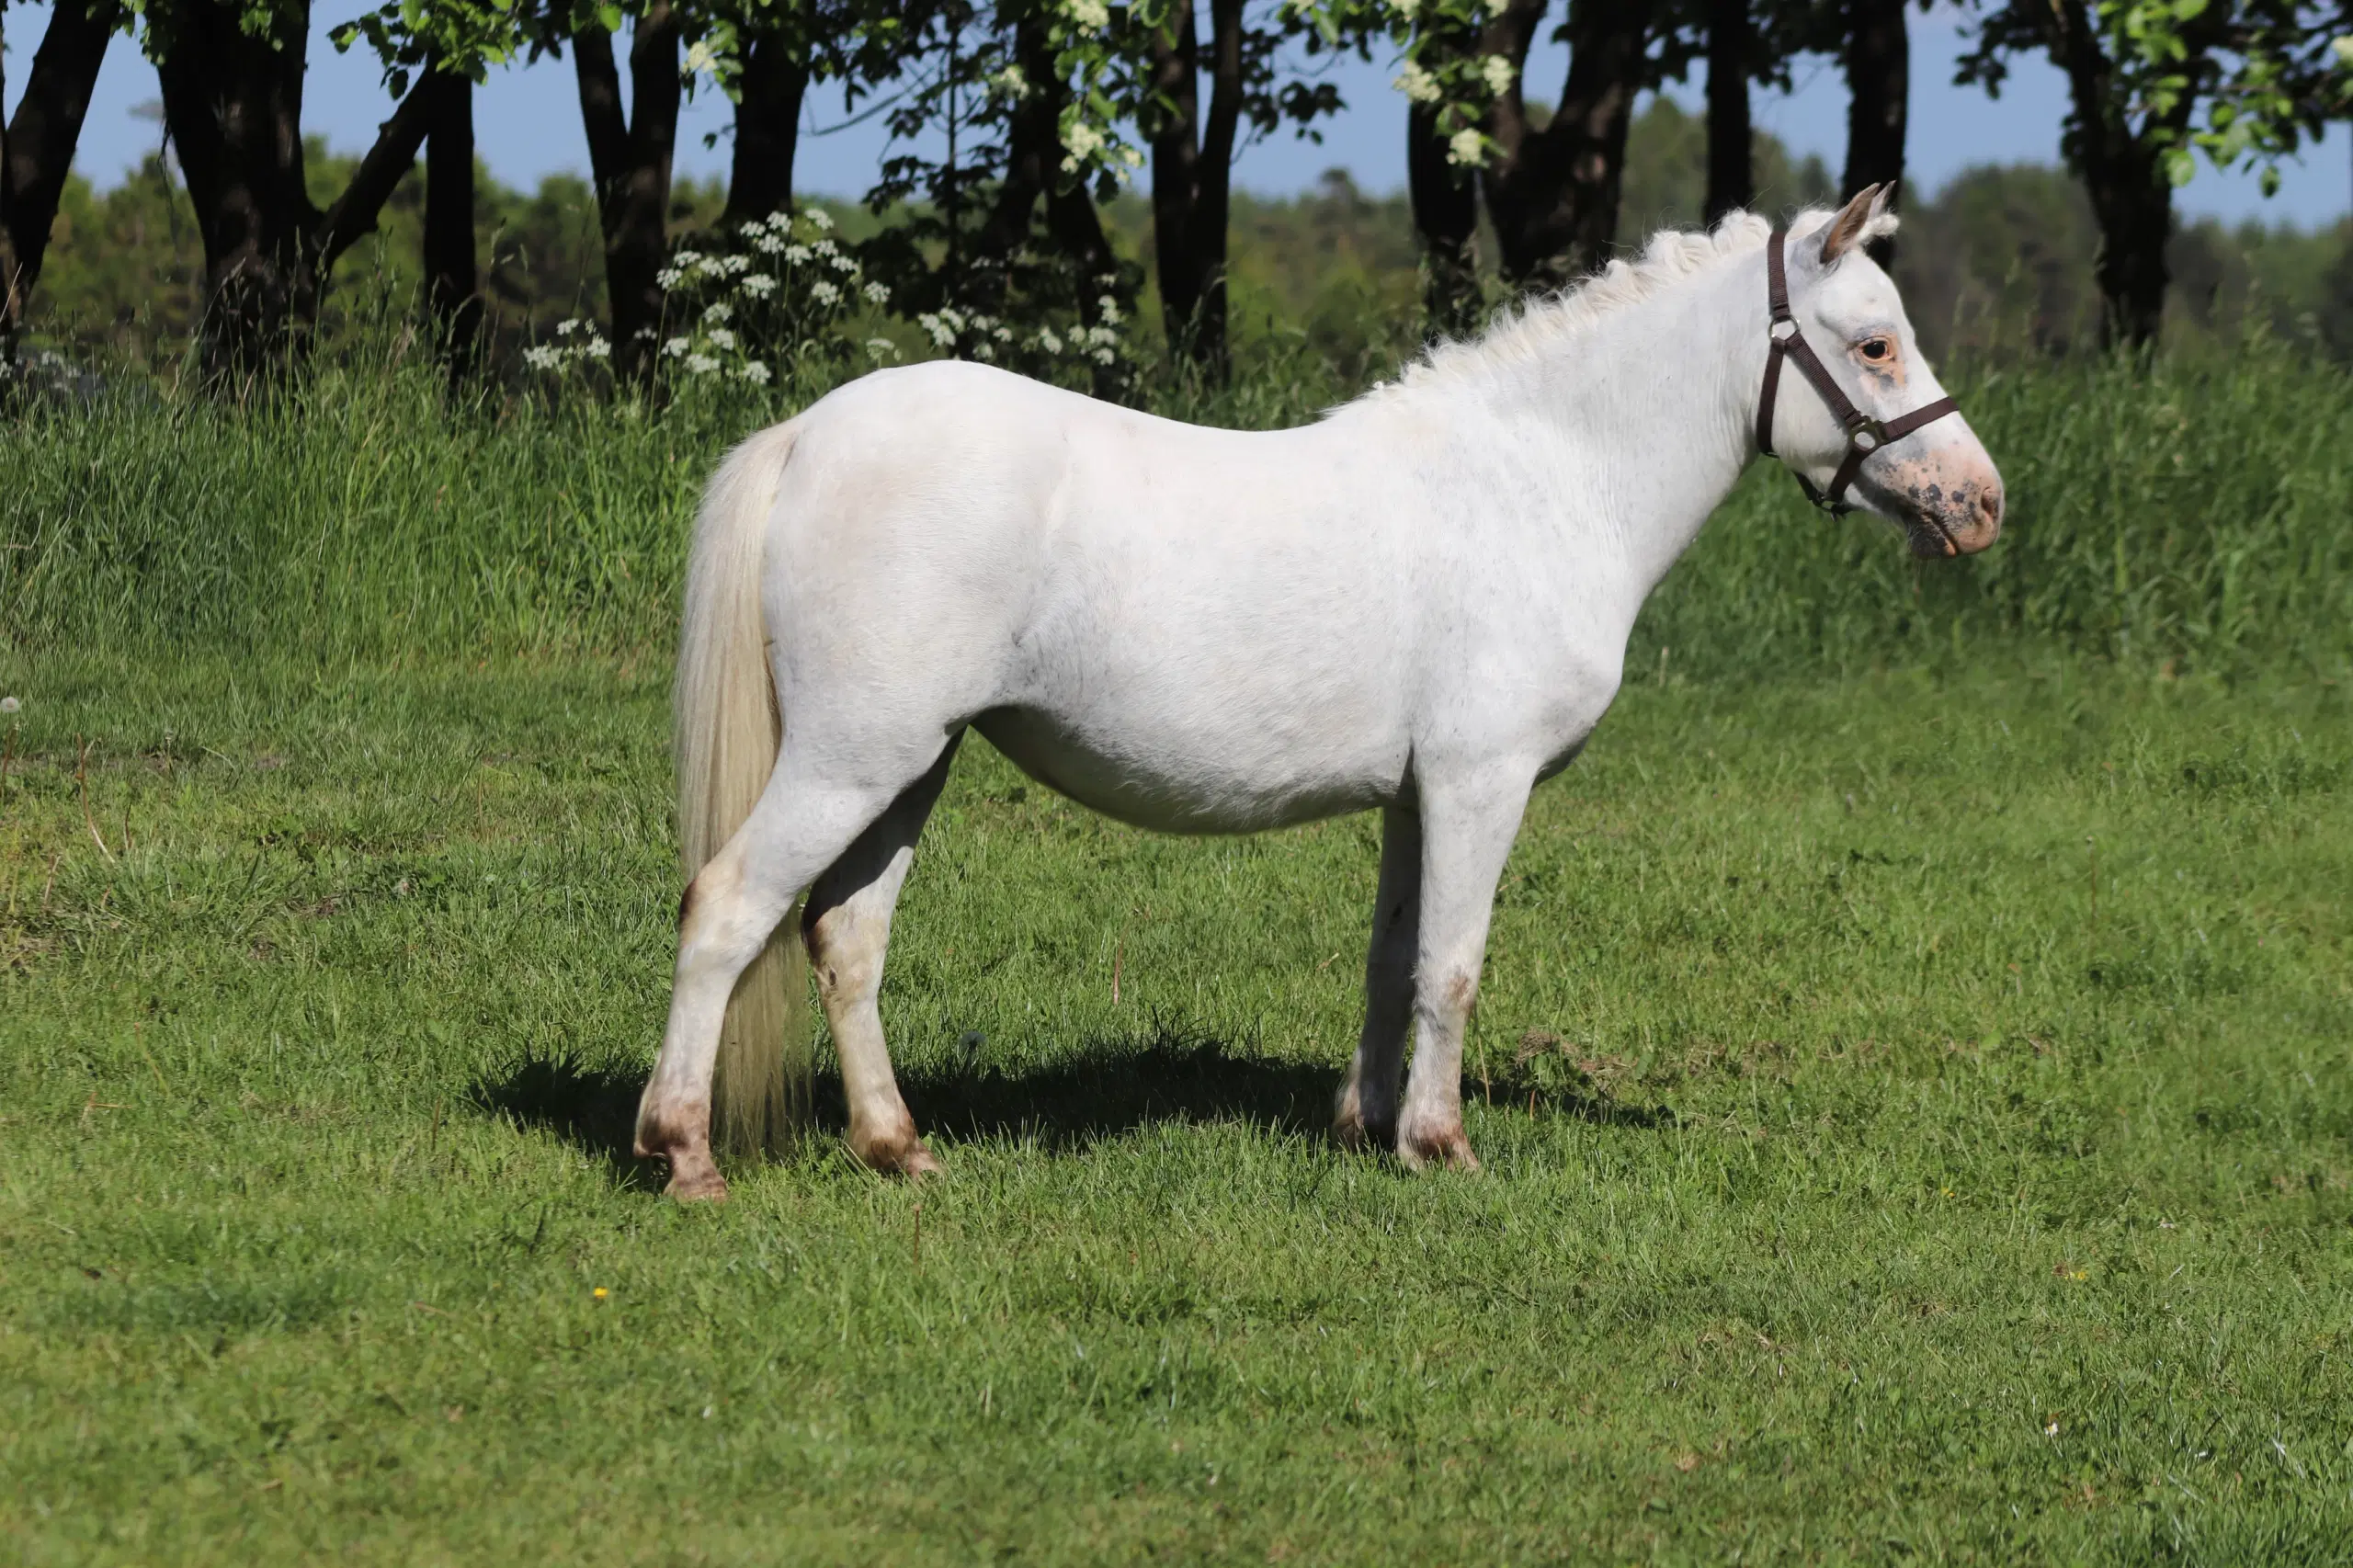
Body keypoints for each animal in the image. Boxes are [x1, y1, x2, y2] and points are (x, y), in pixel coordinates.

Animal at [635, 189, 1995, 1191]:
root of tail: (808, 435)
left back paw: (897, 1148)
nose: (1979, 504)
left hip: (912, 763)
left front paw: (1364, 1125)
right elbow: (1453, 964)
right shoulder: (1481, 783)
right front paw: (1441, 1147)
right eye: (1874, 344)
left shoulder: (1413, 797)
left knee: (846, 937)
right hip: (851, 757)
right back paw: (686, 1152)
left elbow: (1393, 959)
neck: (1540, 482)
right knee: (728, 909)